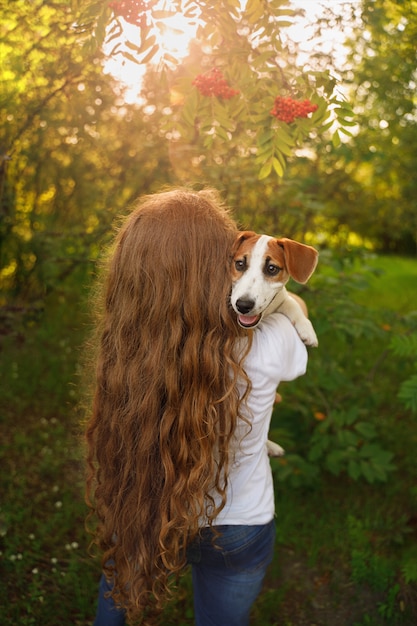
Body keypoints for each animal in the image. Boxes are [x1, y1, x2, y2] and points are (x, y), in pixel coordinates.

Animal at [229, 232, 316, 456]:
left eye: (271, 269)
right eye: (240, 264)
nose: (243, 305)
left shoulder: (281, 299)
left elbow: (290, 302)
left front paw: (307, 329)